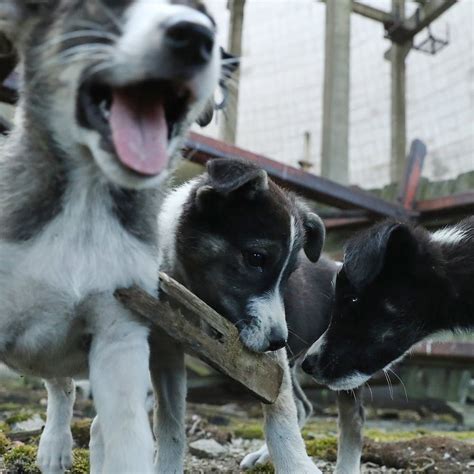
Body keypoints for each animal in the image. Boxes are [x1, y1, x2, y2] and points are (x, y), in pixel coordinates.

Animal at [0, 1, 222, 472]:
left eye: (207, 17)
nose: (195, 36)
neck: (87, 201)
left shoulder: (121, 336)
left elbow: (128, 440)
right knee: (60, 384)